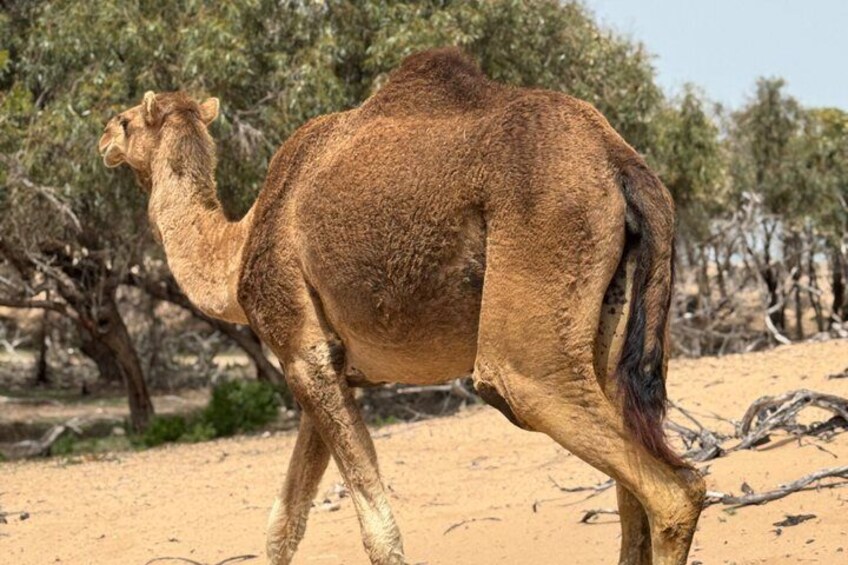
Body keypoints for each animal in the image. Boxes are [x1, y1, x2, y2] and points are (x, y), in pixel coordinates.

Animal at [98, 48, 705, 565]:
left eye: (126, 121)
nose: (103, 134)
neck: (236, 247)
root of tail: (622, 162)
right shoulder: (328, 364)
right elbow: (284, 525)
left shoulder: (301, 353)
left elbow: (377, 529)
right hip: (607, 319)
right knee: (634, 471)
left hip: (539, 285)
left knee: (672, 487)